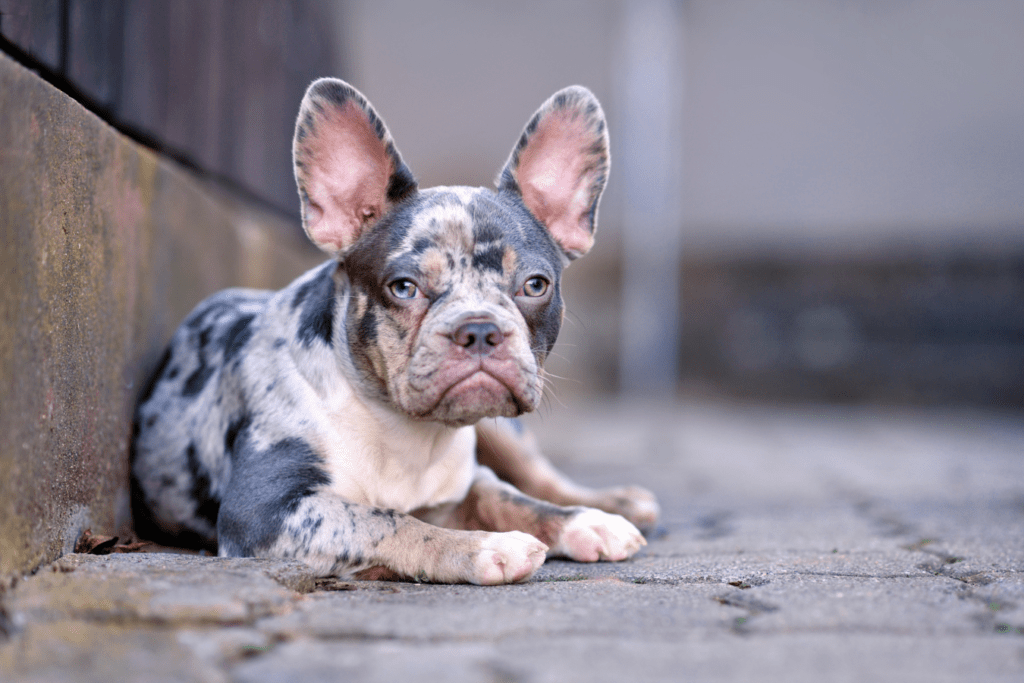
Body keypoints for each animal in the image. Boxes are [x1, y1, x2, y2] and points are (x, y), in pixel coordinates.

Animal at [130, 78, 655, 581]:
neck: (403, 431)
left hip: (505, 433)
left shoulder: (467, 482)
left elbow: (507, 497)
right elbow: (390, 522)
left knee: (535, 473)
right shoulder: (266, 511)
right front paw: (487, 547)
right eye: (403, 287)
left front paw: (579, 521)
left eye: (535, 285)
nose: (480, 328)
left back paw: (612, 502)